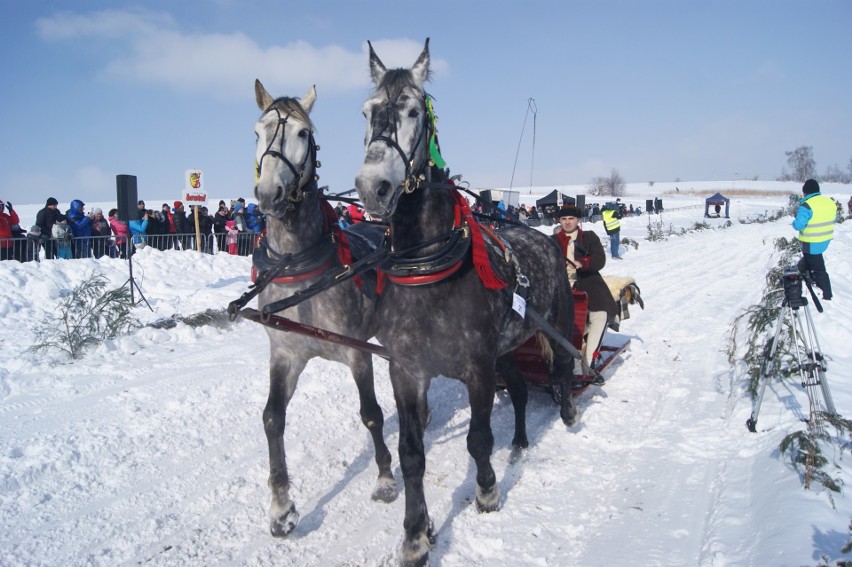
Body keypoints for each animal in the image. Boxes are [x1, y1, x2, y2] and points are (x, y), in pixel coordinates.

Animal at [253, 79, 396, 536]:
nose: (269, 194)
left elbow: (371, 413)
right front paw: (281, 507)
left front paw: (385, 478)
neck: (301, 266)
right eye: (257, 131)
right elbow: (272, 418)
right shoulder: (285, 353)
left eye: (303, 133)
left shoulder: (355, 352)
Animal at [352, 41, 580, 567]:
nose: (372, 187)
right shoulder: (406, 369)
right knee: (520, 388)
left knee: (561, 366)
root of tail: (546, 236)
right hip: (506, 349)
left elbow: (477, 440)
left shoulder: (477, 366)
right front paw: (415, 534)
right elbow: (411, 454)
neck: (428, 271)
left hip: (554, 321)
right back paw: (519, 440)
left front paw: (487, 492)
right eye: (367, 112)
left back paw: (566, 412)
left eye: (414, 110)